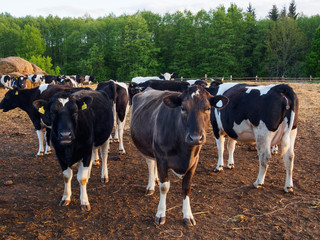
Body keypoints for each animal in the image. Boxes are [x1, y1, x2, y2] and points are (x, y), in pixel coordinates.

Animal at [131, 86, 229, 225]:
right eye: (183, 108)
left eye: (208, 108)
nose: (195, 138)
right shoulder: (162, 158)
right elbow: (164, 187)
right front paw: (160, 214)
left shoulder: (194, 161)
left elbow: (186, 188)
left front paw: (188, 215)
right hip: (146, 148)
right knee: (150, 164)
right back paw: (151, 186)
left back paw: (155, 179)